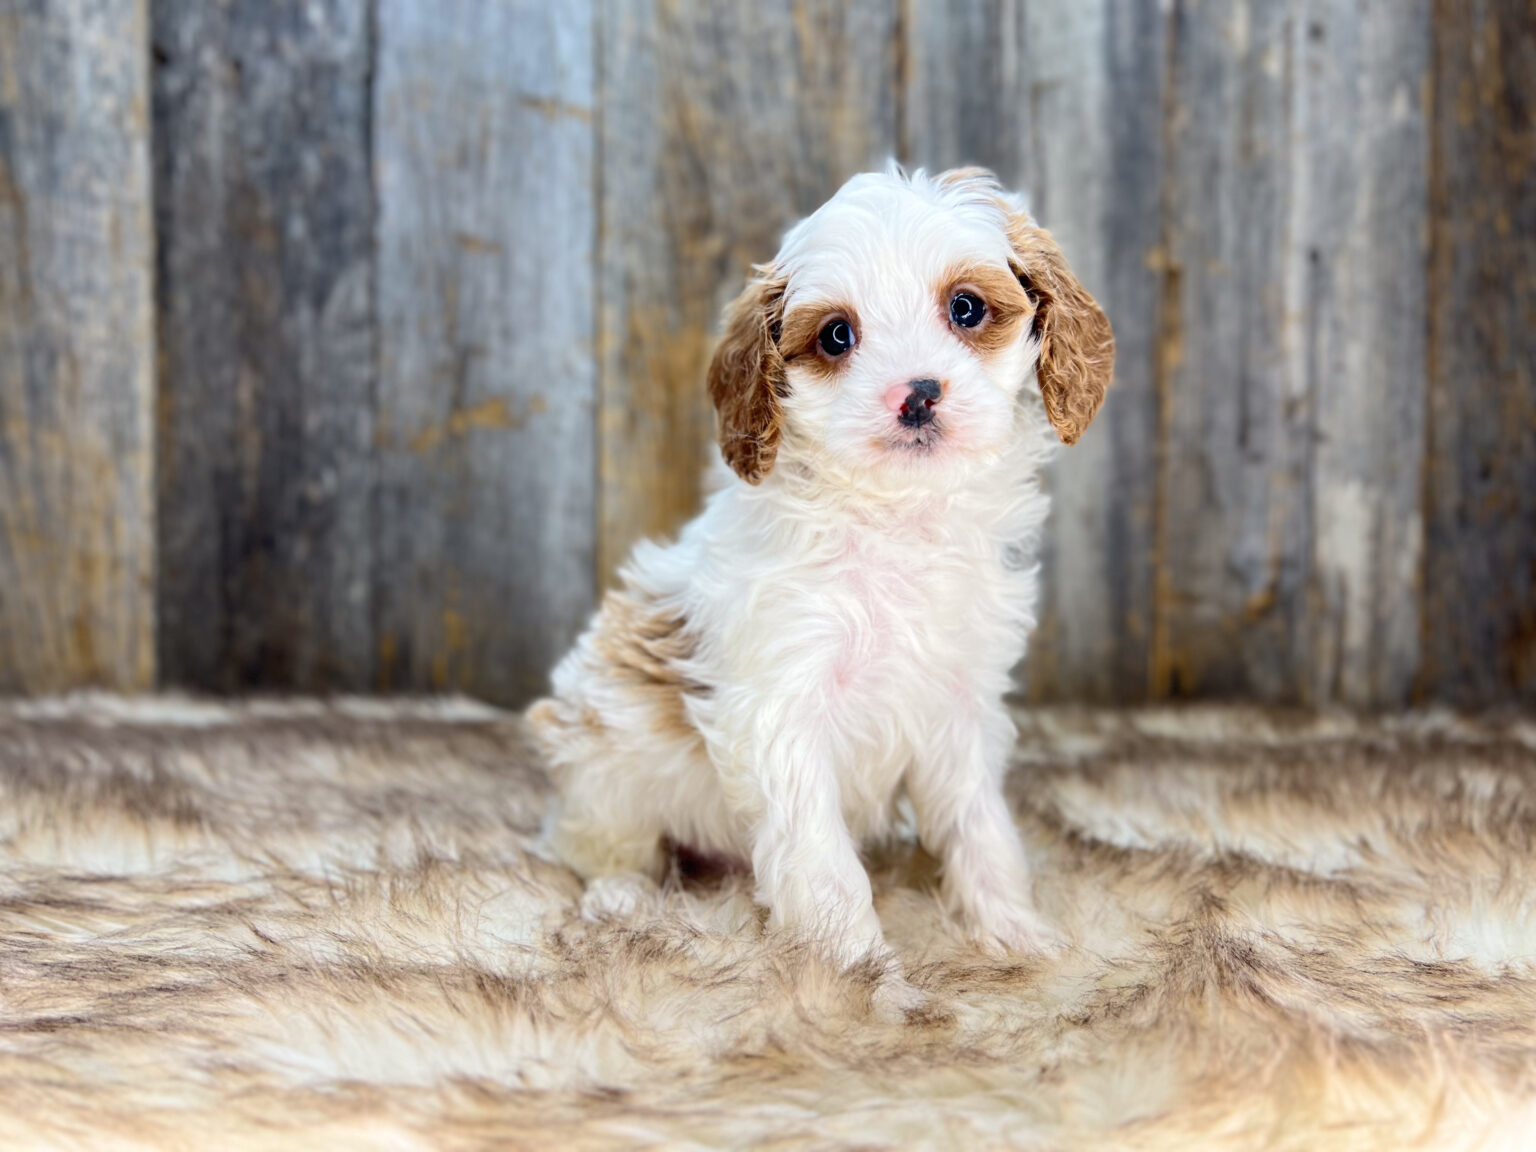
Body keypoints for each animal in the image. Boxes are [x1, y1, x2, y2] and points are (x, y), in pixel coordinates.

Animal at [528, 165, 1113, 971]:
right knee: (596, 847)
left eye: (965, 307)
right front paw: (857, 971)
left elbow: (980, 824)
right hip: (603, 764)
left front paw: (1013, 931)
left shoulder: (959, 702)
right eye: (838, 335)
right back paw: (624, 899)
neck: (896, 516)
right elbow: (823, 860)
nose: (917, 394)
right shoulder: (783, 708)